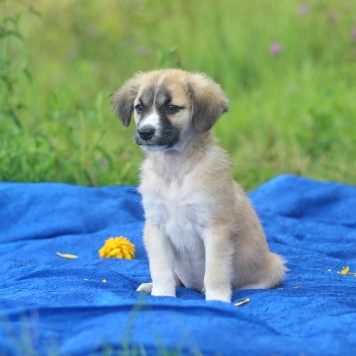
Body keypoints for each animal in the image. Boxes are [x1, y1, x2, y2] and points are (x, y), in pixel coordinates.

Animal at [112, 68, 286, 302]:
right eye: (140, 107)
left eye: (171, 107)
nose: (145, 132)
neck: (175, 172)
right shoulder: (155, 227)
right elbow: (160, 268)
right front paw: (162, 296)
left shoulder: (215, 229)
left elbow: (215, 271)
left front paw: (217, 300)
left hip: (275, 266)